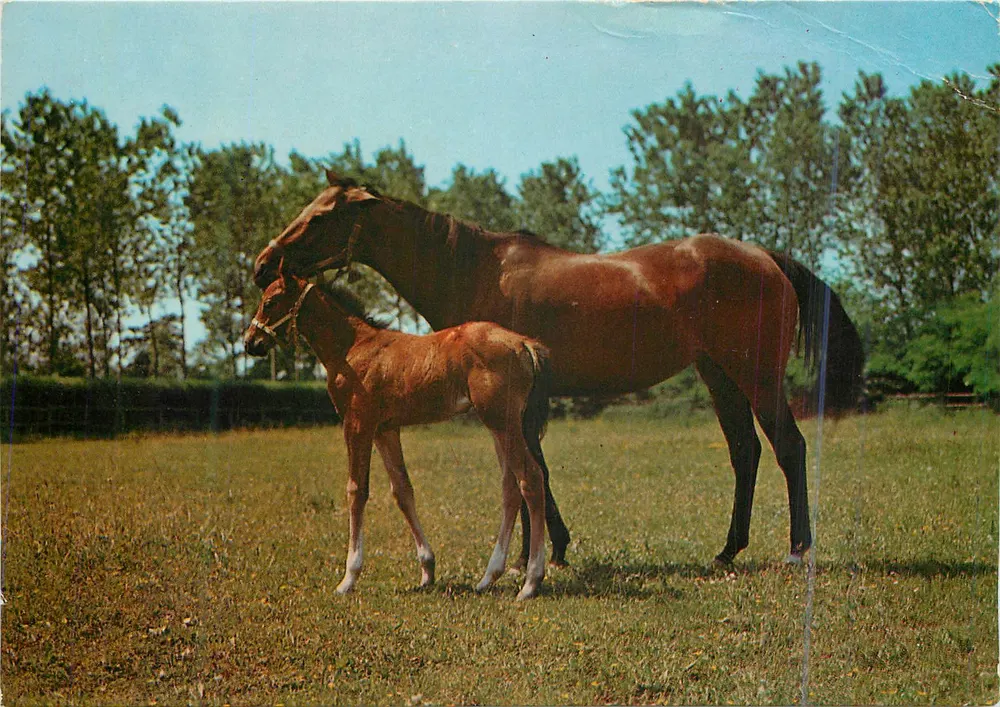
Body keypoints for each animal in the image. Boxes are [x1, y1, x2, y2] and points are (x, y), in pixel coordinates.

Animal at [244, 267, 556, 600]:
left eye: (270, 302)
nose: (250, 342)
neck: (352, 347)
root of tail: (523, 344)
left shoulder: (357, 424)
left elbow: (357, 490)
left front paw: (349, 577)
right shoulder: (385, 429)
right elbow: (403, 491)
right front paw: (427, 570)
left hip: (502, 423)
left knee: (530, 479)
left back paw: (531, 581)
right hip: (501, 426)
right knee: (510, 487)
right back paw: (488, 577)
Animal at [253, 170, 866, 567]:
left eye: (322, 216)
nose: (262, 265)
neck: (473, 269)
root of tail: (766, 257)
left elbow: (530, 469)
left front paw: (536, 555)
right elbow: (535, 468)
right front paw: (550, 548)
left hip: (755, 374)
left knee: (789, 447)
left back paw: (797, 549)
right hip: (719, 377)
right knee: (746, 452)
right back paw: (727, 550)